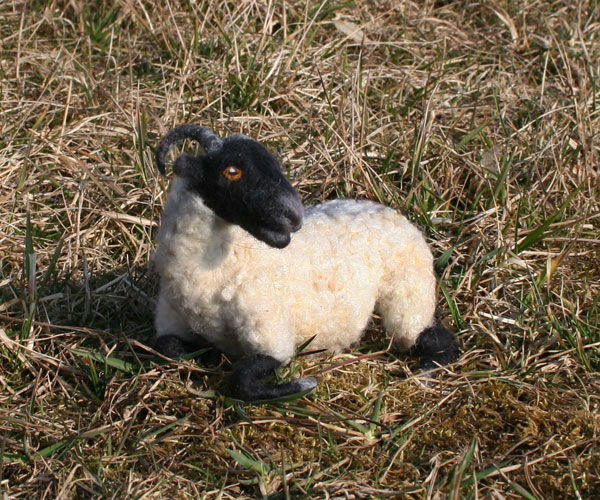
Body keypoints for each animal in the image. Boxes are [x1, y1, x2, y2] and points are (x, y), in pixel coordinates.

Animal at [152, 124, 458, 402]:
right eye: (232, 171)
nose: (294, 217)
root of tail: (396, 215)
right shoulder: (169, 319)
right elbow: (168, 349)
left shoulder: (270, 333)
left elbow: (241, 383)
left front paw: (303, 384)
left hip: (408, 292)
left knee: (435, 339)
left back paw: (425, 373)